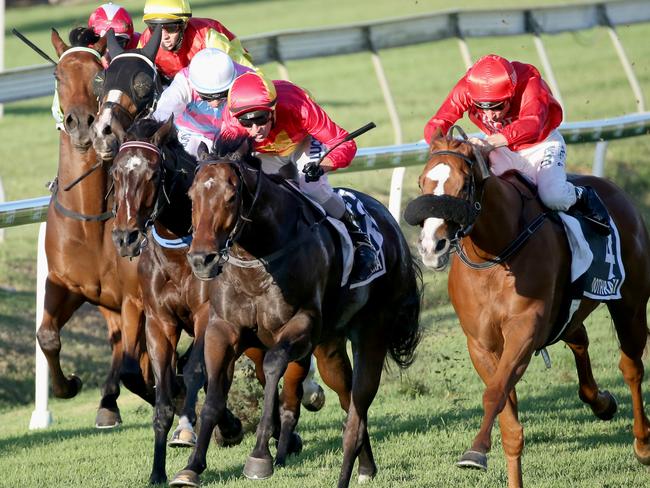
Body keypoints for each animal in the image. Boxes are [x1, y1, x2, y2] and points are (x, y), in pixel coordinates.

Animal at [38, 28, 154, 428]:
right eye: (57, 75)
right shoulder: (67, 284)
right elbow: (47, 335)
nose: (82, 123)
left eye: (98, 75)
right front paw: (68, 385)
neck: (89, 219)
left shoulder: (134, 296)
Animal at [167, 136, 420, 488]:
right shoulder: (222, 328)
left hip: (372, 329)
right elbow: (214, 396)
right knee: (347, 395)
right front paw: (192, 466)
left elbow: (274, 365)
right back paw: (366, 465)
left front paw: (260, 456)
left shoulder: (303, 324)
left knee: (357, 398)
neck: (257, 259)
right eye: (192, 196)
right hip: (330, 347)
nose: (201, 259)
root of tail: (390, 222)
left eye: (231, 197)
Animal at [404, 130, 648, 488]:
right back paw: (601, 402)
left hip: (630, 304)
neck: (494, 254)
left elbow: (494, 394)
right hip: (566, 314)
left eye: (463, 185)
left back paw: (642, 443)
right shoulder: (481, 343)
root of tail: (616, 190)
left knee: (631, 368)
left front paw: (475, 451)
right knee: (579, 339)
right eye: (422, 182)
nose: (430, 247)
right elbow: (507, 415)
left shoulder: (524, 330)